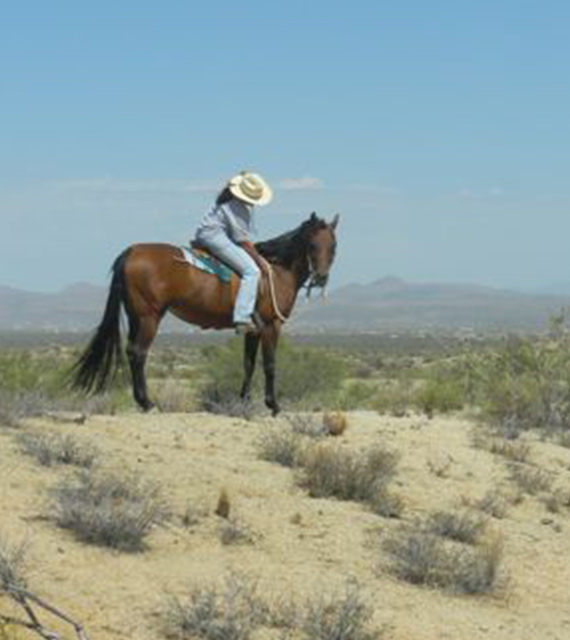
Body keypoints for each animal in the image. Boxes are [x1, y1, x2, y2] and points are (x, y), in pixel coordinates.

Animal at [71, 212, 338, 418]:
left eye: (333, 246)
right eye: (312, 245)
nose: (321, 278)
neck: (274, 269)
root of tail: (131, 251)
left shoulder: (253, 330)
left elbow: (248, 364)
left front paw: (244, 401)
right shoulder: (272, 326)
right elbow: (270, 365)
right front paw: (273, 405)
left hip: (136, 317)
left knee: (130, 352)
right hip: (149, 317)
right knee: (138, 353)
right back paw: (147, 403)